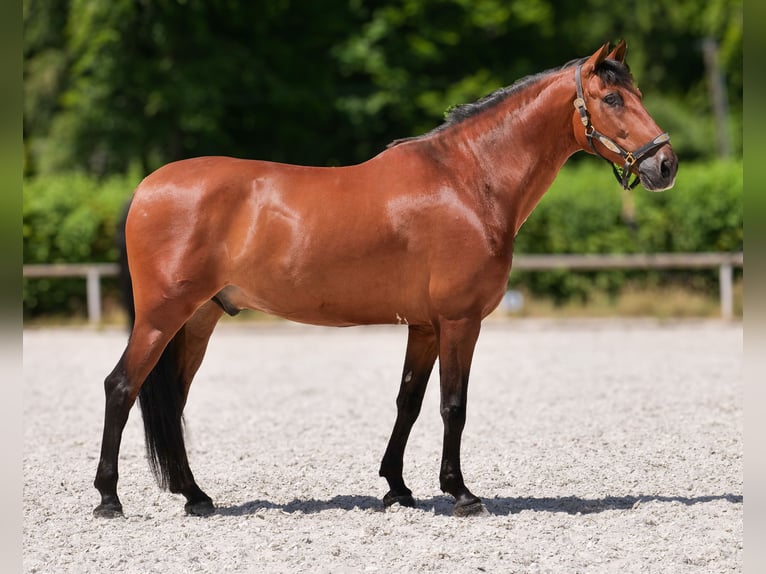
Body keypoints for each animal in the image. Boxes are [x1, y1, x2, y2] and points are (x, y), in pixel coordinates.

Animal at [94, 41, 677, 518]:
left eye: (638, 94)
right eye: (612, 99)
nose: (666, 165)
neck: (468, 180)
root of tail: (145, 186)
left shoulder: (425, 326)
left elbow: (409, 402)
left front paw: (397, 488)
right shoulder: (460, 321)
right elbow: (453, 405)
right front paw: (460, 492)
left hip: (197, 320)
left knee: (173, 402)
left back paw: (195, 496)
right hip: (161, 318)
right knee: (121, 387)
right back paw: (108, 499)